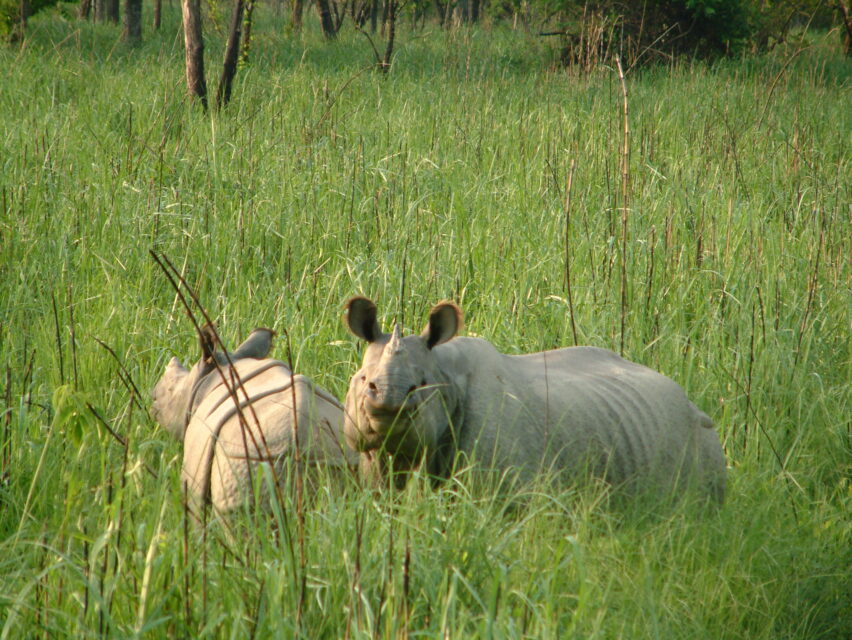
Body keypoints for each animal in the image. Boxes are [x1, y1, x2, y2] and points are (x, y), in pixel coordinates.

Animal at [343, 297, 726, 501]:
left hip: (700, 437)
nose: (388, 401)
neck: (446, 373)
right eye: (363, 380)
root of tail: (690, 401)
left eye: (421, 385)